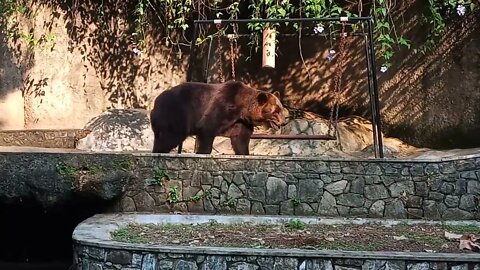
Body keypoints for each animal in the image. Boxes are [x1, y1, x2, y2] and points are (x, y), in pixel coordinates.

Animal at [150, 80, 284, 155]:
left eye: (281, 109)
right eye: (276, 111)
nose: (284, 122)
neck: (242, 108)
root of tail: (155, 102)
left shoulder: (240, 122)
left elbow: (240, 138)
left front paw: (244, 153)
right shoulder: (222, 105)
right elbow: (208, 128)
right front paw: (202, 152)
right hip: (177, 113)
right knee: (170, 137)